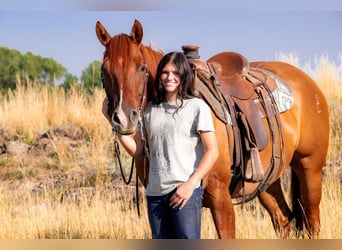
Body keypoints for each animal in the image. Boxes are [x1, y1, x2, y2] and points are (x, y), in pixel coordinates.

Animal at [95, 19, 328, 238]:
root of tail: (308, 83)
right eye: (104, 71)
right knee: (283, 221)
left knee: (312, 223)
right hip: (267, 182)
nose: (124, 118)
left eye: (142, 68)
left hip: (310, 168)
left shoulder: (220, 197)